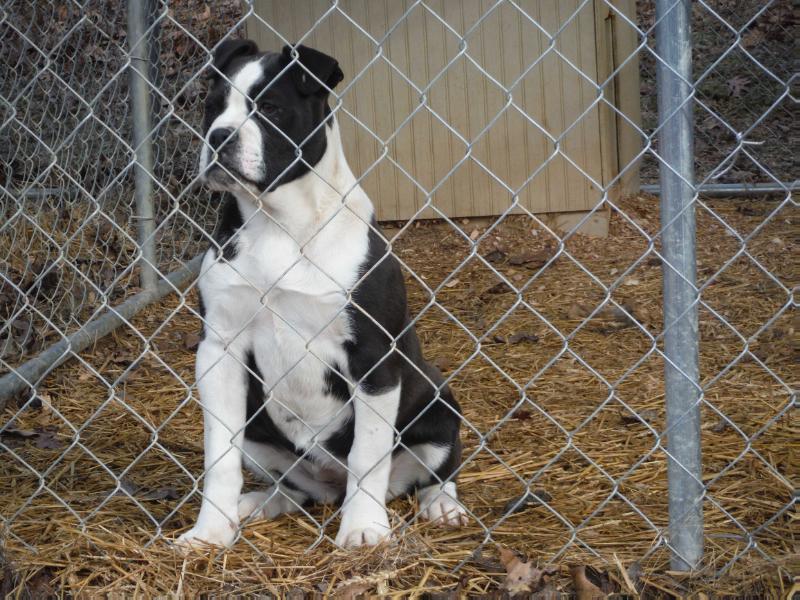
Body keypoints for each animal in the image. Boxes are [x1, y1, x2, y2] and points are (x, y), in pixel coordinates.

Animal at [175, 39, 462, 552]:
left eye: (269, 108)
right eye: (212, 107)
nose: (219, 137)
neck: (278, 224)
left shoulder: (372, 358)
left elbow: (368, 453)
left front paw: (364, 528)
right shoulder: (219, 350)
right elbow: (219, 454)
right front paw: (209, 531)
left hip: (440, 403)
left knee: (431, 472)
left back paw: (440, 505)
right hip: (260, 429)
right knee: (297, 488)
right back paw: (258, 504)